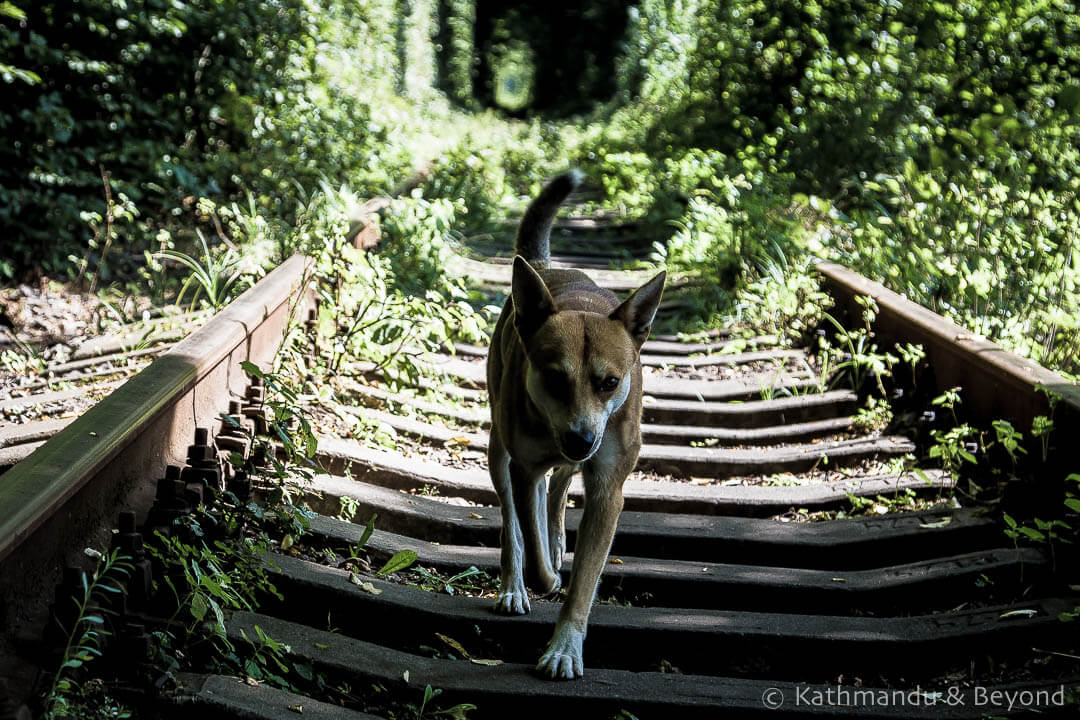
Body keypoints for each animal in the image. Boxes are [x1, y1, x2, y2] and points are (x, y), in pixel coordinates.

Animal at [488, 171, 665, 677]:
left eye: (610, 382)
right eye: (553, 378)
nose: (582, 438)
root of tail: (543, 268)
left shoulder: (608, 488)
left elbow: (585, 579)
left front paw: (565, 646)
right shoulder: (525, 468)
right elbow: (528, 534)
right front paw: (543, 578)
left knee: (559, 489)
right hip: (498, 447)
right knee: (513, 521)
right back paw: (516, 583)